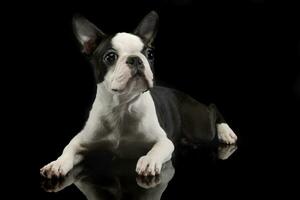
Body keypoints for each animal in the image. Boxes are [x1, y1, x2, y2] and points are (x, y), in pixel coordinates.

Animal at [40, 10, 237, 177]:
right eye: (110, 57)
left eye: (150, 54)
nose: (135, 59)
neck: (121, 106)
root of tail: (181, 93)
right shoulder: (81, 140)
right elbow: (68, 149)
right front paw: (57, 163)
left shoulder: (164, 140)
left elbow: (157, 148)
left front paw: (149, 161)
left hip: (200, 128)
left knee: (212, 107)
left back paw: (226, 132)